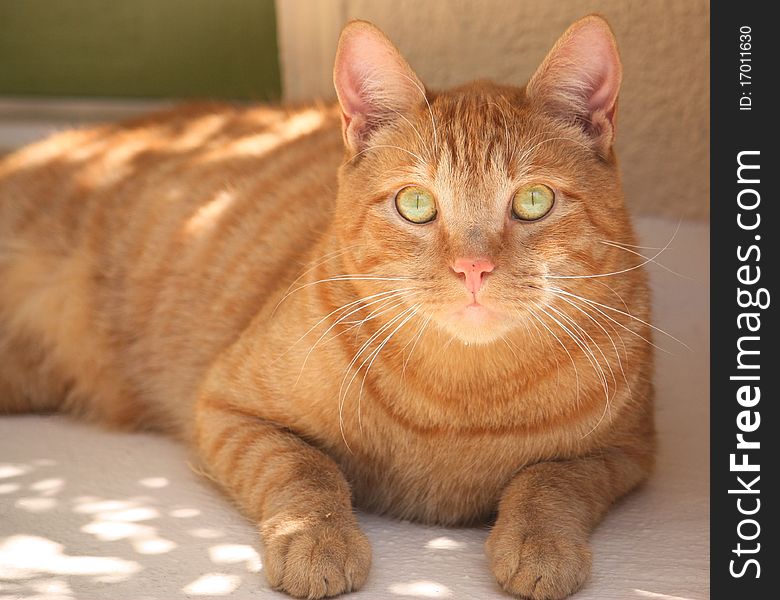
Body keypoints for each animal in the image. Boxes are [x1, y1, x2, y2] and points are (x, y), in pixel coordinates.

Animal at [3, 16, 656, 596]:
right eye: (416, 204)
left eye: (534, 201)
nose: (473, 269)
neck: (460, 402)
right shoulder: (226, 409)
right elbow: (304, 469)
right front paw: (318, 541)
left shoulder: (625, 451)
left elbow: (550, 480)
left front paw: (540, 545)